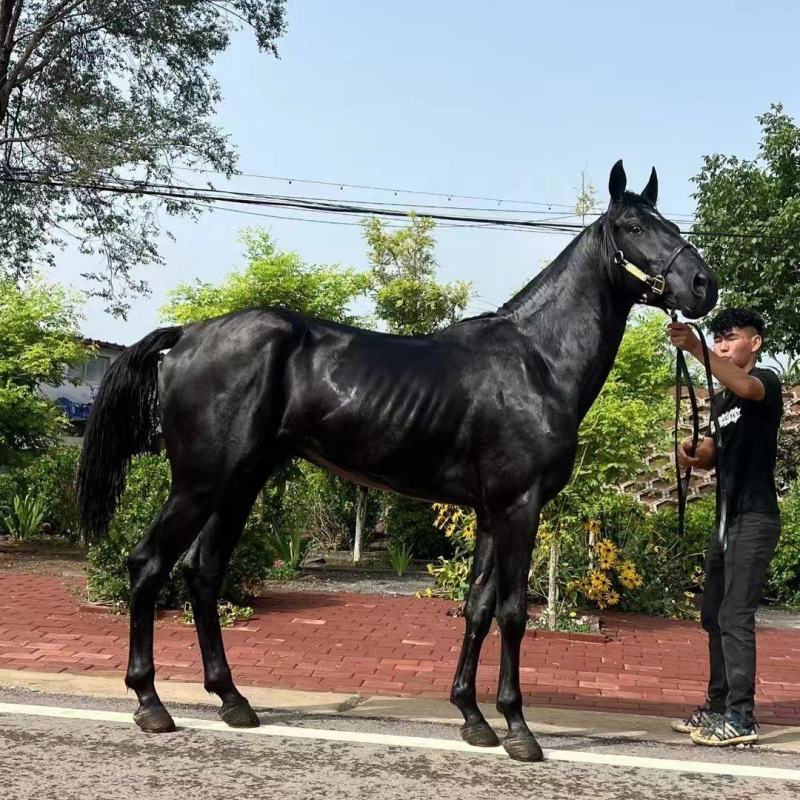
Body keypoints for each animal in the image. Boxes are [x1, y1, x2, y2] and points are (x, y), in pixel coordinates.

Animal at [77, 160, 718, 762]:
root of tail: (186, 336)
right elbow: (513, 611)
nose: (702, 285)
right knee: (148, 565)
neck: (536, 360)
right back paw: (150, 702)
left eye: (669, 222)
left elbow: (477, 607)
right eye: (633, 226)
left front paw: (473, 717)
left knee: (203, 574)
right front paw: (518, 727)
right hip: (200, 483)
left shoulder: (491, 512)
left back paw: (233, 700)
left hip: (239, 484)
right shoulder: (519, 506)